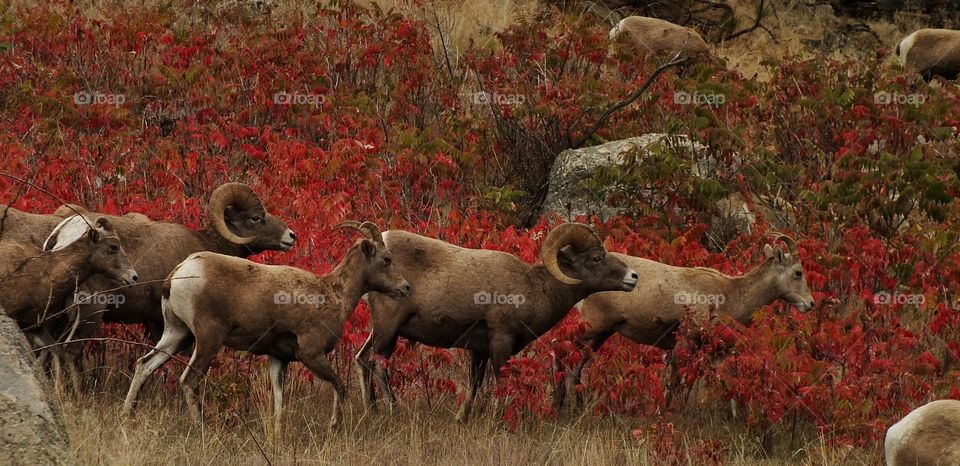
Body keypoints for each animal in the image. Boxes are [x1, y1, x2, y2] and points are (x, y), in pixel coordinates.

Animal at [123, 220, 408, 432]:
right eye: (386, 259)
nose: (405, 288)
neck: (333, 294)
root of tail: (179, 273)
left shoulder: (277, 359)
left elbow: (279, 404)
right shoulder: (311, 354)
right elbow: (339, 386)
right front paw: (334, 426)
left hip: (176, 334)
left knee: (144, 365)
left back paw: (128, 418)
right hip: (207, 340)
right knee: (188, 380)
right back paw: (201, 429)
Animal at [356, 222, 640, 422]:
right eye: (596, 258)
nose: (633, 277)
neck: (534, 288)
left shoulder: (479, 351)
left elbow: (474, 385)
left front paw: (462, 419)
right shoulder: (501, 341)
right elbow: (501, 382)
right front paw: (498, 418)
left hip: (384, 332)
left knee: (362, 360)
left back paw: (372, 411)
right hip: (388, 327)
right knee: (376, 364)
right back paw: (392, 410)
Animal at [560, 235, 812, 410]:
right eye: (798, 272)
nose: (809, 304)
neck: (729, 296)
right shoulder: (685, 342)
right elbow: (675, 384)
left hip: (600, 335)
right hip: (592, 328)